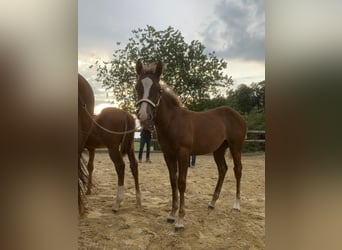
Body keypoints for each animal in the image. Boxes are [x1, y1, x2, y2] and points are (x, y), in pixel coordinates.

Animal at [135, 60, 247, 230]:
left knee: (237, 170)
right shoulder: (168, 155)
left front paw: (180, 220)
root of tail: (238, 115)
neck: (172, 122)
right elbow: (173, 181)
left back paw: (236, 205)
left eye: (158, 89)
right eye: (137, 87)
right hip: (218, 150)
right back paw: (212, 202)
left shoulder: (183, 154)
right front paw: (171, 214)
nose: (143, 116)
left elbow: (181, 183)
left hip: (236, 147)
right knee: (223, 169)